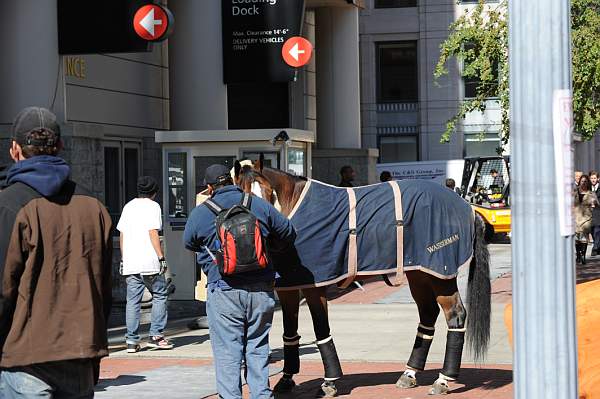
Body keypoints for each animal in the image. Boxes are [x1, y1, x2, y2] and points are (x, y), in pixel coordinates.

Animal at [232, 159, 490, 396]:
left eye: (267, 192)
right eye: (243, 194)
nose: (263, 233)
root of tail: (467, 207)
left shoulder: (315, 287)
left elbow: (321, 329)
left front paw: (329, 382)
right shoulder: (288, 287)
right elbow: (289, 332)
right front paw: (286, 379)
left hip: (440, 274)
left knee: (455, 314)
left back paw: (443, 379)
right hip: (420, 273)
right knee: (428, 314)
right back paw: (409, 373)